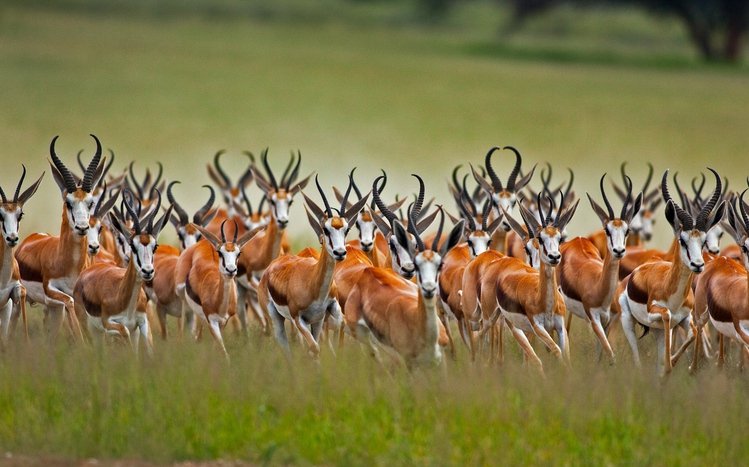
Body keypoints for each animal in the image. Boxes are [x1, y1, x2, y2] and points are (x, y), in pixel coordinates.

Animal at [16, 135, 105, 341]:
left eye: (90, 202)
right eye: (68, 202)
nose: (82, 227)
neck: (69, 265)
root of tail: (33, 237)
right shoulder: (51, 291)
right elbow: (70, 302)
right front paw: (82, 342)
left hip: (52, 309)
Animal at [74, 191, 172, 353]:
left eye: (155, 246)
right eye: (133, 245)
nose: (148, 271)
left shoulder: (142, 324)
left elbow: (149, 348)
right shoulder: (108, 323)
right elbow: (124, 334)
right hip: (89, 328)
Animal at [258, 175, 369, 357]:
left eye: (346, 229)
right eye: (325, 229)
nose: (340, 252)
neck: (314, 285)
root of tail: (271, 267)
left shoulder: (324, 315)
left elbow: (339, 327)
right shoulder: (298, 319)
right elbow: (314, 347)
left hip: (315, 322)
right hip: (276, 319)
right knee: (285, 347)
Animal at [557, 174, 642, 363]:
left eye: (627, 230)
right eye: (607, 230)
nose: (619, 251)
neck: (600, 289)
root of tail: (577, 239)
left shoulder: (611, 319)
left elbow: (603, 353)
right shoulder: (594, 318)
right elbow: (610, 354)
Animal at [616, 169, 724, 375]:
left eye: (703, 241)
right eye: (682, 240)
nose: (698, 264)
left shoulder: (685, 319)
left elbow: (694, 332)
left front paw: (675, 363)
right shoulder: (655, 313)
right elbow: (667, 315)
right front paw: (668, 366)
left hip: (656, 330)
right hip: (627, 320)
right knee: (635, 355)